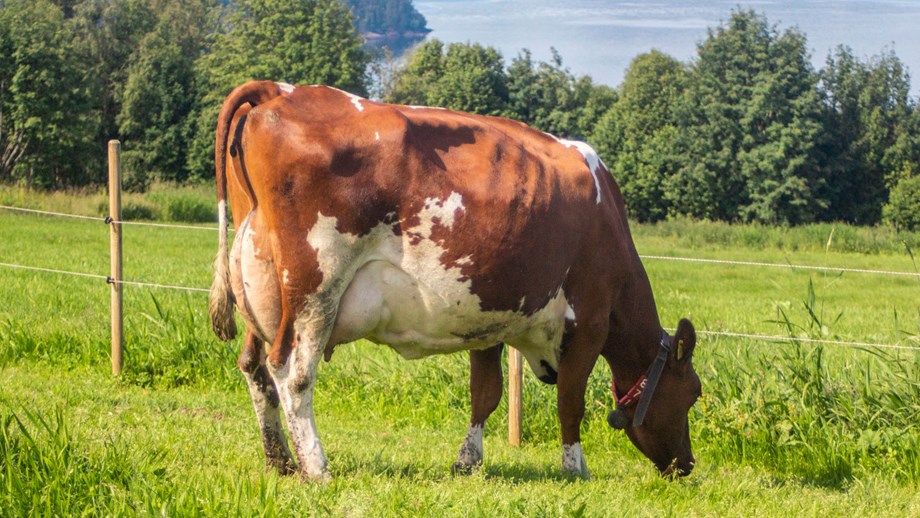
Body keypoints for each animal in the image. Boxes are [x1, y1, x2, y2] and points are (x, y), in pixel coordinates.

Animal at [207, 81, 696, 484]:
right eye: (693, 394)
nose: (688, 465)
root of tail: (280, 90)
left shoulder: (488, 319)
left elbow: (486, 394)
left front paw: (467, 461)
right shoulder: (590, 323)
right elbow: (570, 402)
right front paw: (577, 469)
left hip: (259, 285)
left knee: (253, 366)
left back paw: (280, 461)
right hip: (315, 284)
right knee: (292, 373)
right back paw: (315, 467)